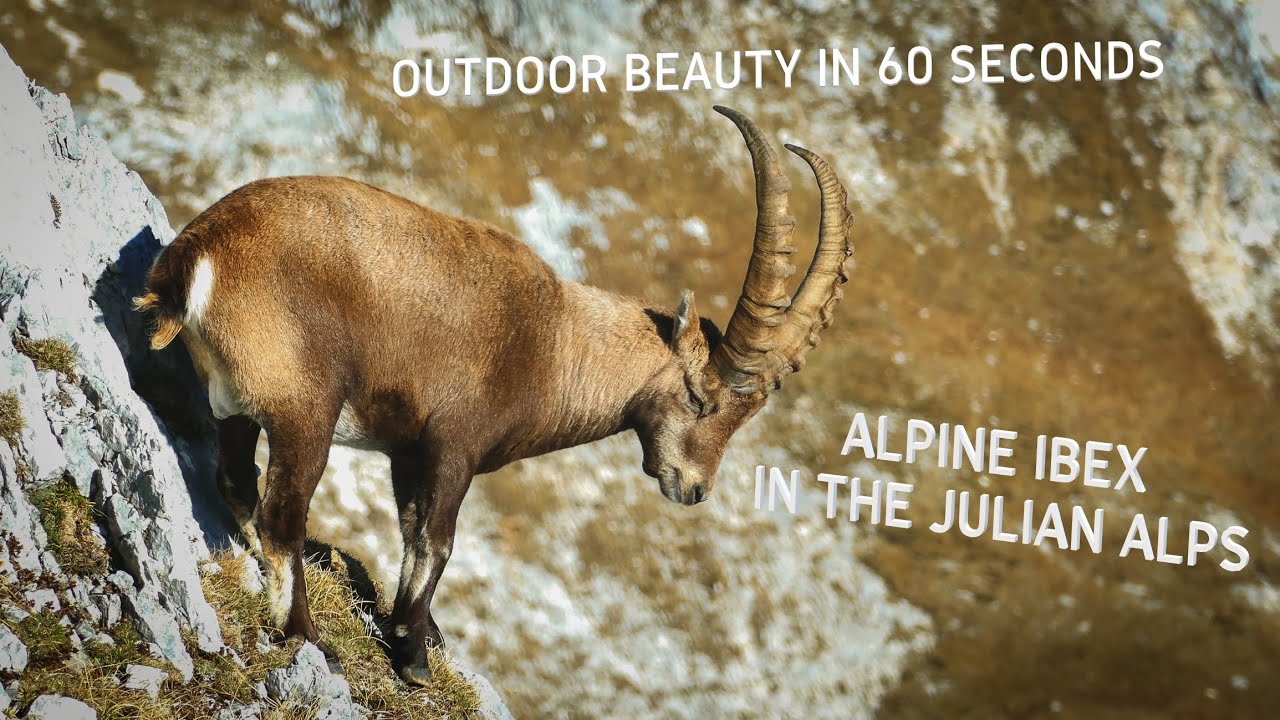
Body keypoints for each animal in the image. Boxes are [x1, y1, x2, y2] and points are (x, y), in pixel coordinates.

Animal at [134, 106, 852, 684]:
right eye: (702, 400)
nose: (694, 488)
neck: (556, 345)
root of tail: (197, 256)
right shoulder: (454, 445)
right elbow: (438, 543)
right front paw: (415, 660)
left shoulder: (407, 453)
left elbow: (411, 533)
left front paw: (415, 633)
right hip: (305, 409)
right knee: (283, 515)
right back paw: (308, 639)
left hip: (240, 404)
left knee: (239, 484)